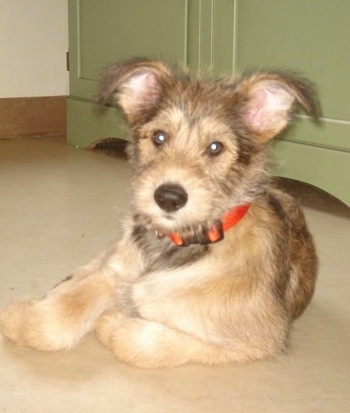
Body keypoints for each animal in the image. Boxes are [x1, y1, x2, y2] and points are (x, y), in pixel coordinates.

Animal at [0, 58, 318, 366]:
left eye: (215, 147)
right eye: (160, 137)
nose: (168, 197)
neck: (177, 244)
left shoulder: (259, 340)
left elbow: (135, 343)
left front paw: (114, 319)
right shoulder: (116, 274)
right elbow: (62, 312)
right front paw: (21, 318)